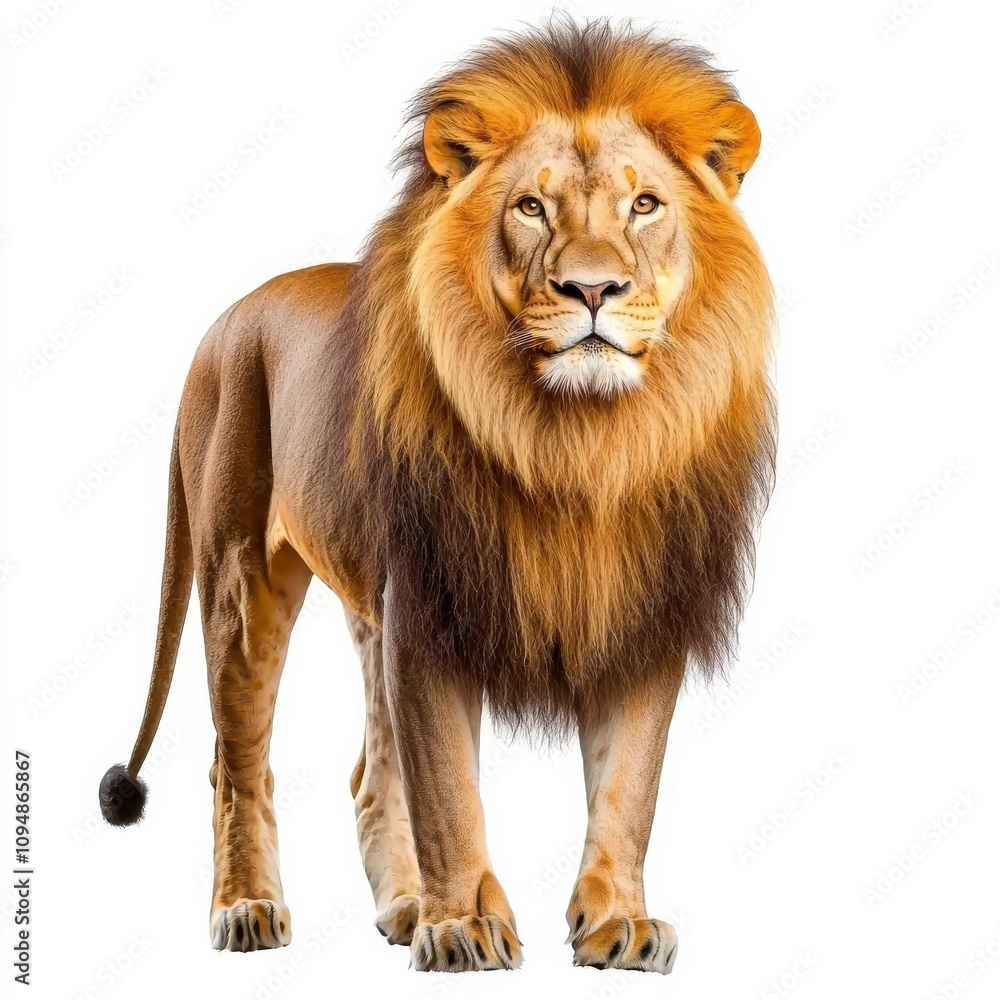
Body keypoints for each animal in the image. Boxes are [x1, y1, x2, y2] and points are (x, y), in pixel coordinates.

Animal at [98, 17, 776, 974]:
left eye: (645, 206)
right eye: (531, 208)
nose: (594, 289)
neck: (579, 443)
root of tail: (222, 323)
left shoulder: (641, 609)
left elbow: (627, 787)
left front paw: (618, 923)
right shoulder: (428, 608)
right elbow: (449, 791)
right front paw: (466, 929)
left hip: (365, 605)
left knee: (370, 776)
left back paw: (406, 907)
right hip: (239, 580)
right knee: (238, 761)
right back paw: (251, 909)